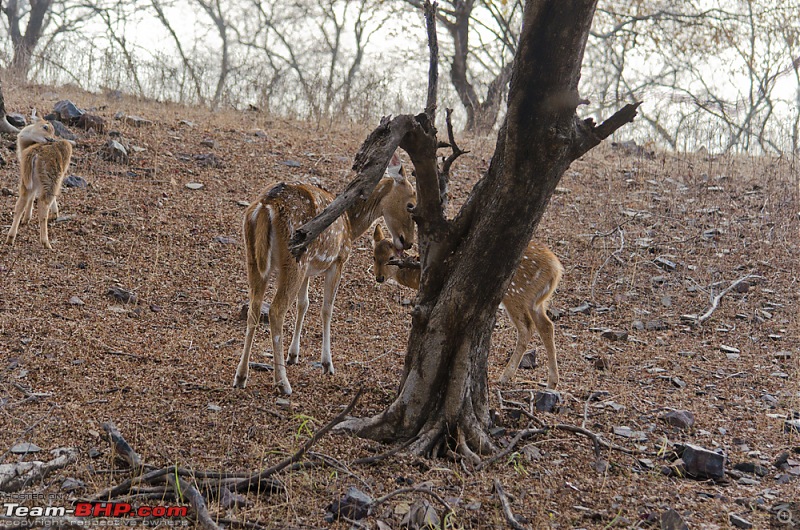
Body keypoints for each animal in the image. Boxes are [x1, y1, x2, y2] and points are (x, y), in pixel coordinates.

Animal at [5, 112, 73, 249]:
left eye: (53, 131)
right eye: (45, 127)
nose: (51, 139)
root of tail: (34, 153)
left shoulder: (30, 180)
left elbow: (30, 198)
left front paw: (26, 219)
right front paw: (55, 214)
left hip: (26, 182)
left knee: (20, 204)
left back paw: (10, 238)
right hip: (49, 179)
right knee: (43, 206)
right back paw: (46, 242)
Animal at [233, 153, 416, 392]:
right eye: (411, 205)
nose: (409, 242)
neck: (351, 223)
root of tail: (265, 207)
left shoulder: (309, 269)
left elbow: (304, 304)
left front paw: (294, 355)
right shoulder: (338, 260)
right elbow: (327, 308)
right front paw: (327, 364)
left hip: (256, 259)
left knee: (254, 308)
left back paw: (241, 376)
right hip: (294, 259)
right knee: (275, 310)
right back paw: (282, 383)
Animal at [374, 223, 564, 388]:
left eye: (391, 258)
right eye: (374, 256)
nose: (379, 277)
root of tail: (556, 270)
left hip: (516, 294)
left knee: (527, 327)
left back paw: (505, 376)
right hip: (536, 301)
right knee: (547, 326)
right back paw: (552, 382)